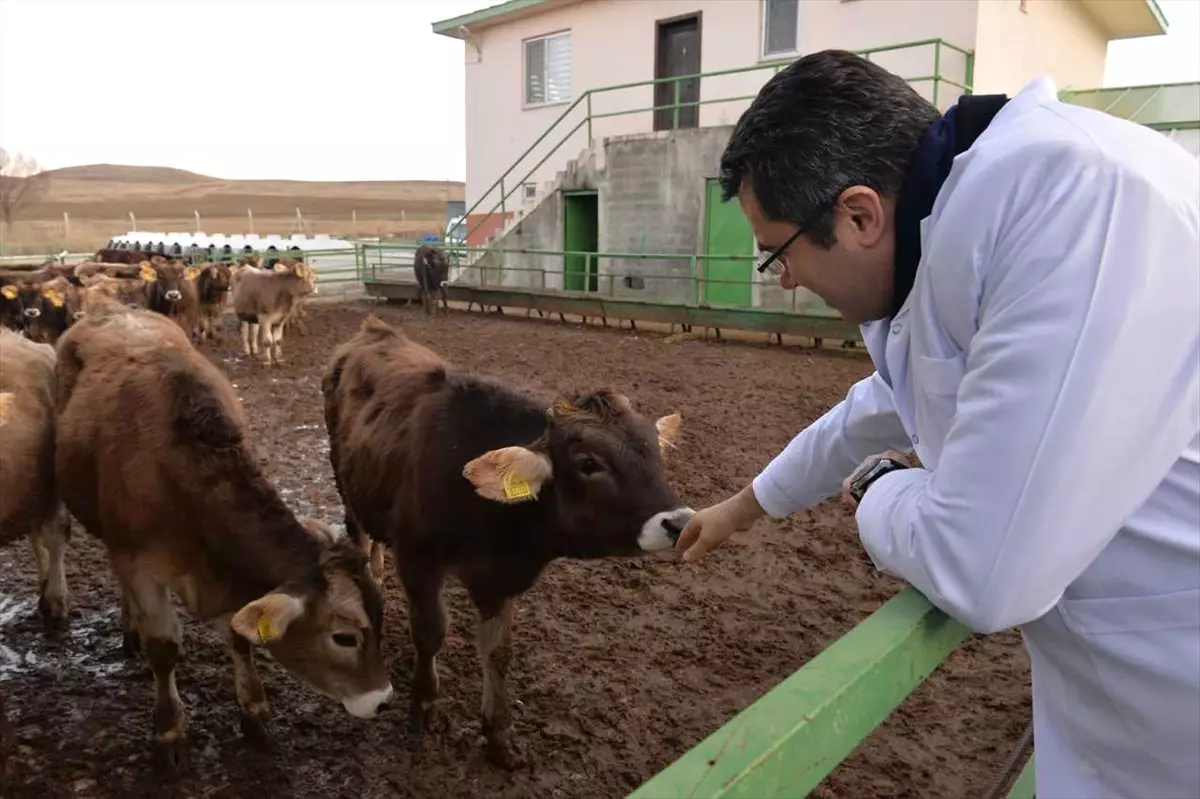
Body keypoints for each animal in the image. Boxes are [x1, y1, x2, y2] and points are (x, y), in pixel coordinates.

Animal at [56, 302, 393, 767]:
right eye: (344, 637)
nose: (382, 700)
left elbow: (238, 635)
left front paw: (253, 712)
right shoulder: (138, 562)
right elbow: (163, 647)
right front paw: (168, 731)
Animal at [319, 311, 696, 767]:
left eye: (656, 453)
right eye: (589, 463)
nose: (680, 522)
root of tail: (374, 328)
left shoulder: (499, 579)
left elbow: (499, 651)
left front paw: (498, 735)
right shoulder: (417, 559)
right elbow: (430, 632)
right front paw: (422, 706)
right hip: (345, 482)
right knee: (357, 535)